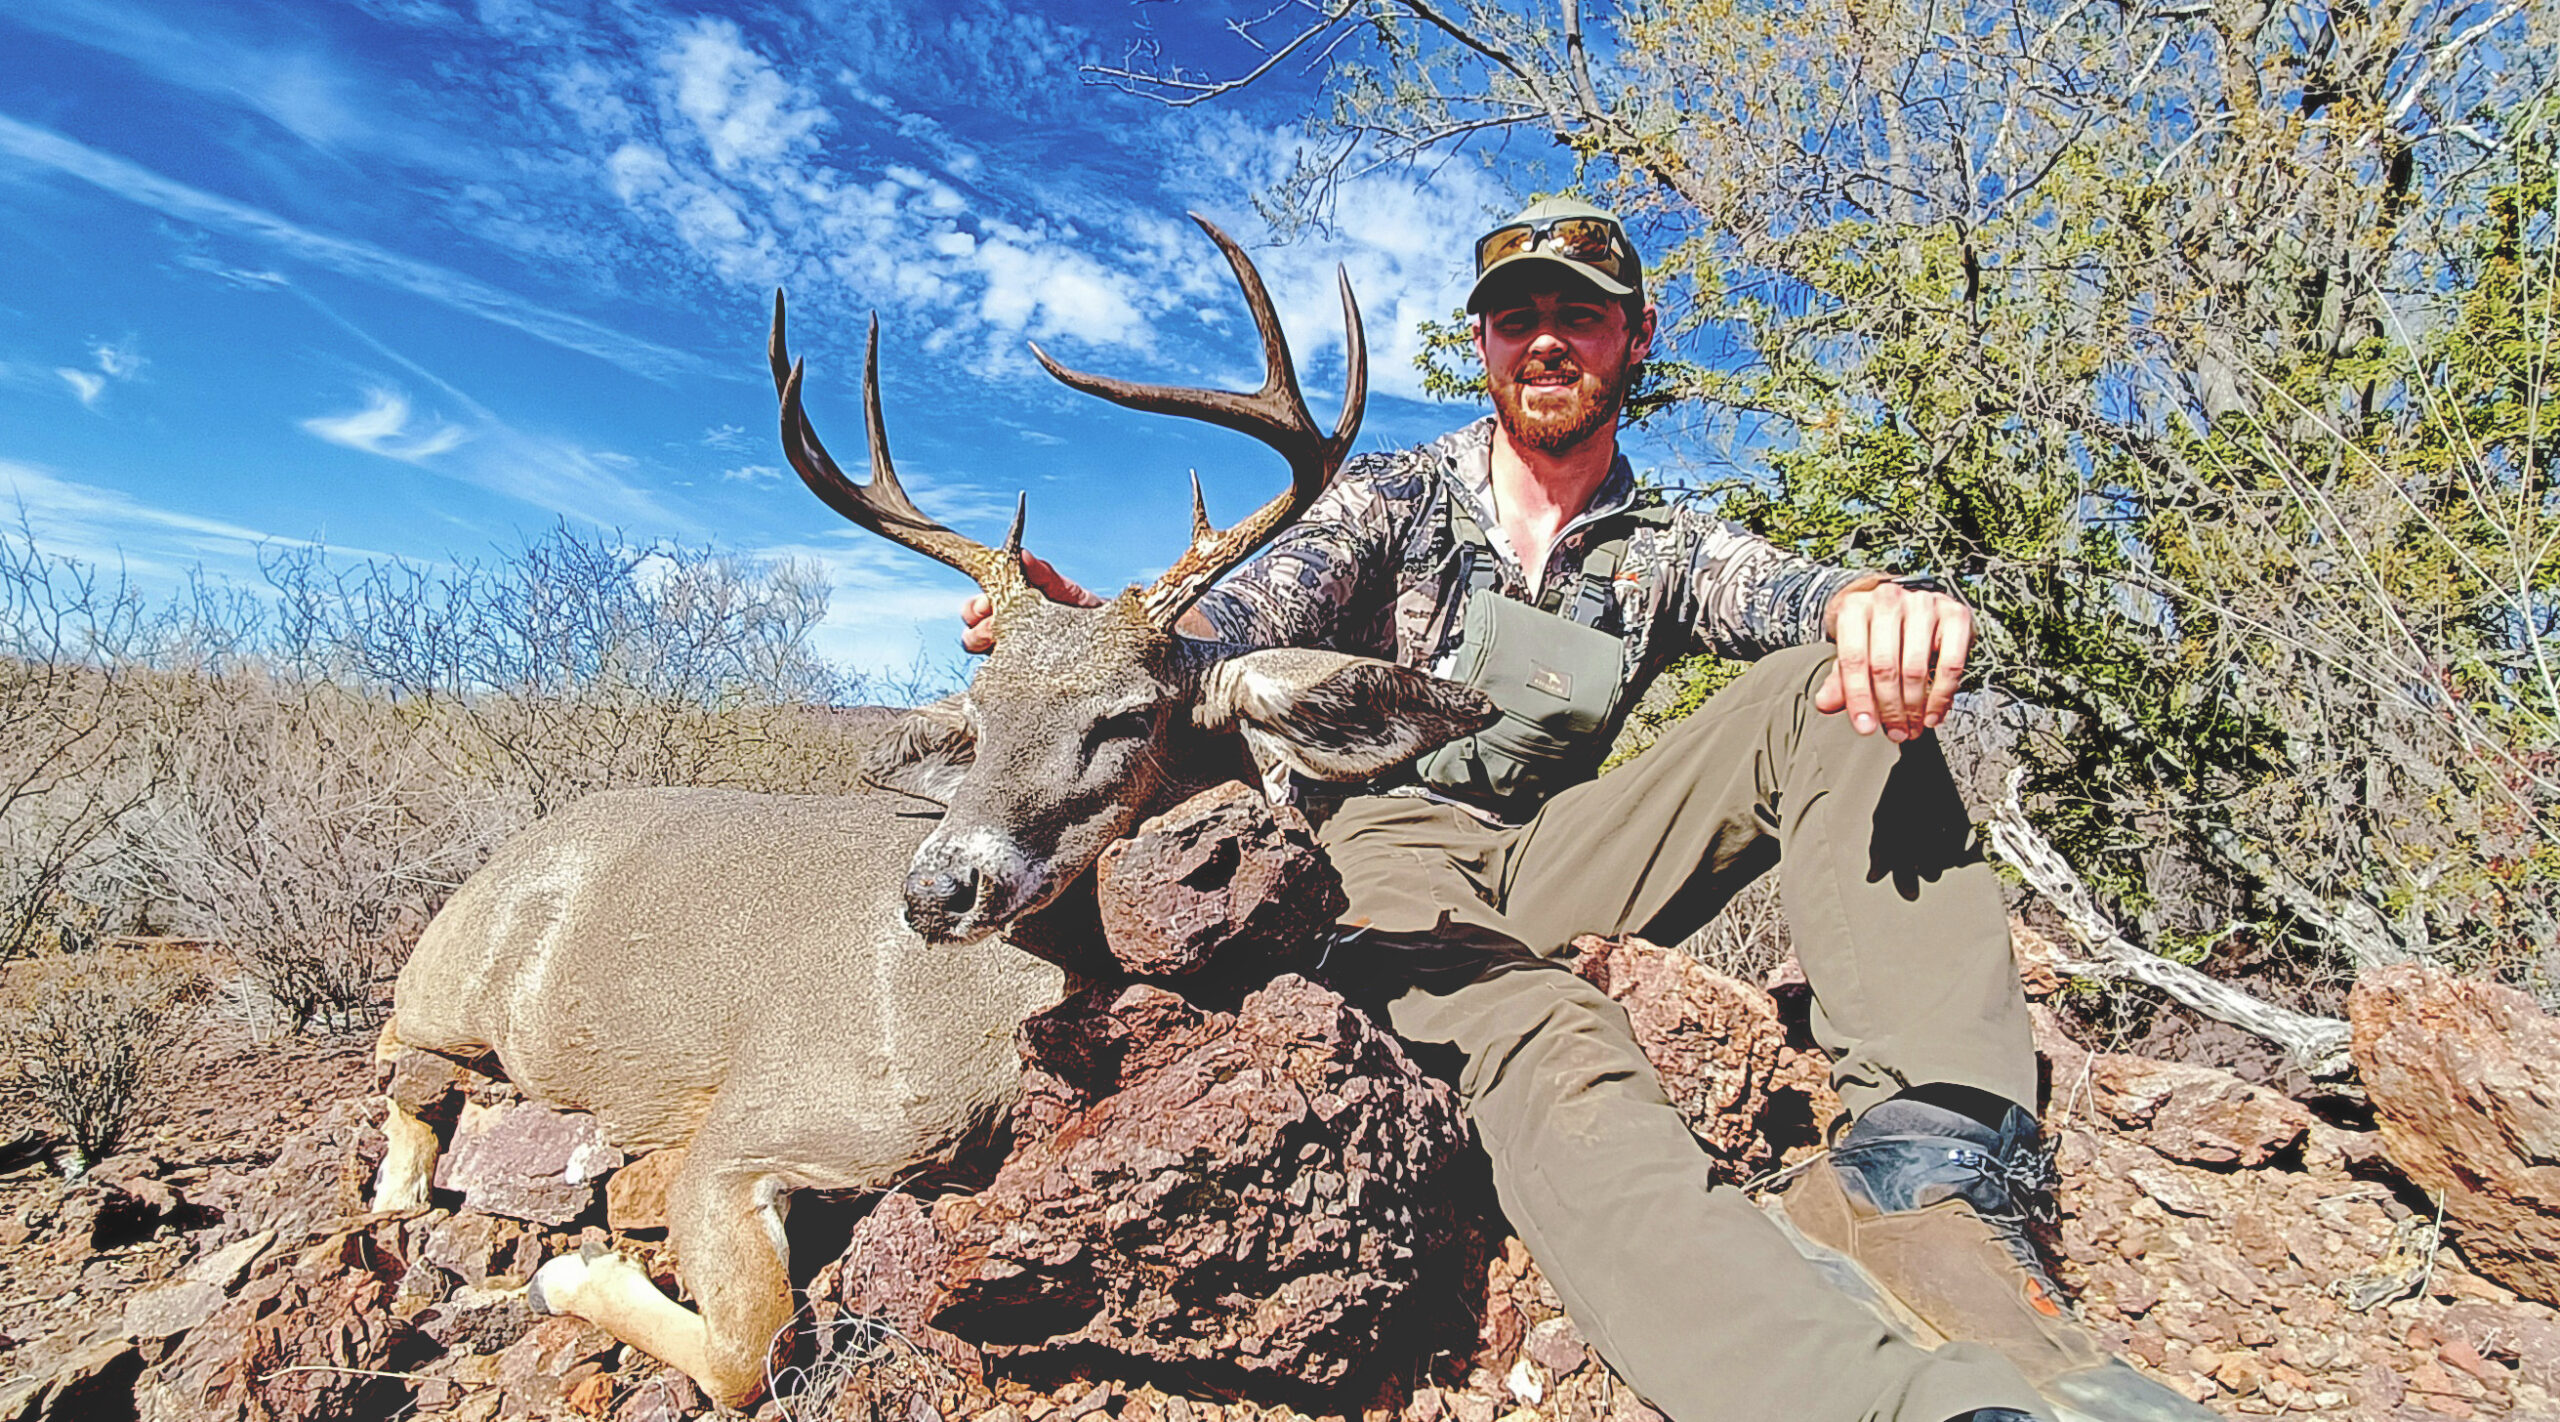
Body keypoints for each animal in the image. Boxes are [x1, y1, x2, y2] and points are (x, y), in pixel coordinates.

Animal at [368, 216, 1496, 1410]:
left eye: (1130, 715)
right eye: (980, 709)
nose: (936, 887)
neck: (975, 1028)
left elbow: (755, 1343)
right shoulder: (744, 1122)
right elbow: (753, 1345)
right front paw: (567, 1269)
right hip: (452, 981)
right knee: (397, 1045)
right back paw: (407, 1187)